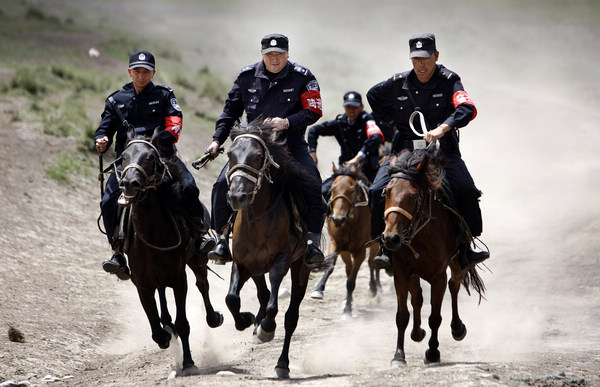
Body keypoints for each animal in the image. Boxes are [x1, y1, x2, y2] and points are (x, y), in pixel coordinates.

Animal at [116, 127, 223, 376]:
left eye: (150, 157)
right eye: (123, 157)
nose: (129, 183)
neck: (153, 234)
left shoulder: (178, 278)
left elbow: (184, 323)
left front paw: (189, 362)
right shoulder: (142, 285)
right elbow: (156, 329)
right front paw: (165, 332)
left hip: (195, 259)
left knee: (202, 284)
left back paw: (213, 317)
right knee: (162, 298)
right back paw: (167, 323)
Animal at [221, 120, 314, 378]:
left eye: (258, 156)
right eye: (230, 154)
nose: (237, 196)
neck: (257, 218)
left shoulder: (281, 261)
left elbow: (274, 304)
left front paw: (266, 328)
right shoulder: (241, 263)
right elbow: (231, 298)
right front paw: (246, 320)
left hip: (300, 268)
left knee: (291, 317)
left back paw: (282, 363)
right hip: (255, 267)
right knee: (262, 294)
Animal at [312, 163, 382, 316]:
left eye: (351, 190)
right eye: (332, 189)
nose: (338, 219)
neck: (350, 222)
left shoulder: (360, 251)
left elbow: (351, 281)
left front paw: (347, 309)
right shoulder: (337, 245)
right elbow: (333, 267)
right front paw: (319, 289)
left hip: (375, 243)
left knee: (372, 263)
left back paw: (375, 289)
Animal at [382, 146, 486, 366]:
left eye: (413, 196)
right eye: (386, 192)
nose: (390, 238)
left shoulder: (438, 276)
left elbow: (435, 317)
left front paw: (432, 352)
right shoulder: (401, 273)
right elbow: (402, 315)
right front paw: (398, 356)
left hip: (456, 262)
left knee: (454, 285)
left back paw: (457, 328)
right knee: (417, 297)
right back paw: (417, 333)